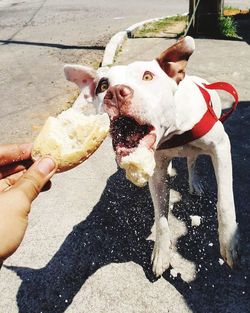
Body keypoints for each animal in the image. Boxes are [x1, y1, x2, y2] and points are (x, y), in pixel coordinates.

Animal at [63, 36, 239, 276]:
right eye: (103, 85)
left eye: (148, 76)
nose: (115, 93)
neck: (173, 131)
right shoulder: (156, 171)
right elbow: (161, 216)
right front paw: (161, 253)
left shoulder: (221, 147)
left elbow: (225, 201)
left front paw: (229, 243)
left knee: (192, 161)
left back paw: (194, 183)